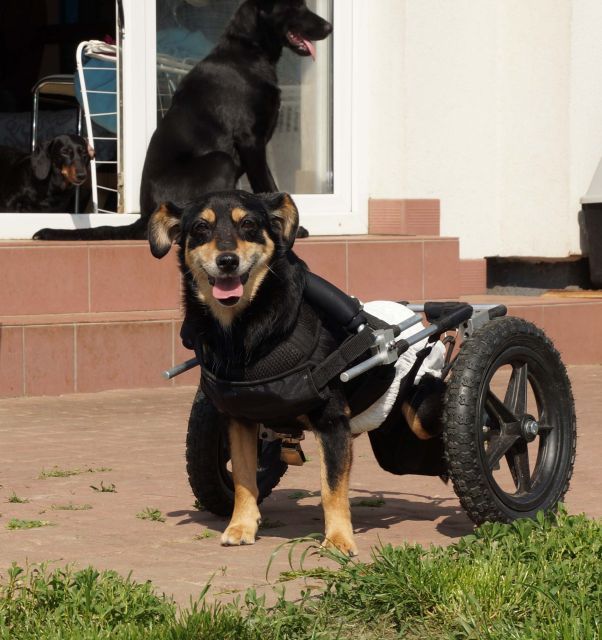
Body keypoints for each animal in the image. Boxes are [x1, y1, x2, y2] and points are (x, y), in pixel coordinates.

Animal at [34, 0, 328, 240]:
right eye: (296, 6)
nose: (329, 27)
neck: (247, 50)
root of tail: (145, 216)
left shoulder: (256, 145)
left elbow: (272, 186)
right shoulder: (250, 141)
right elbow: (266, 187)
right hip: (221, 161)